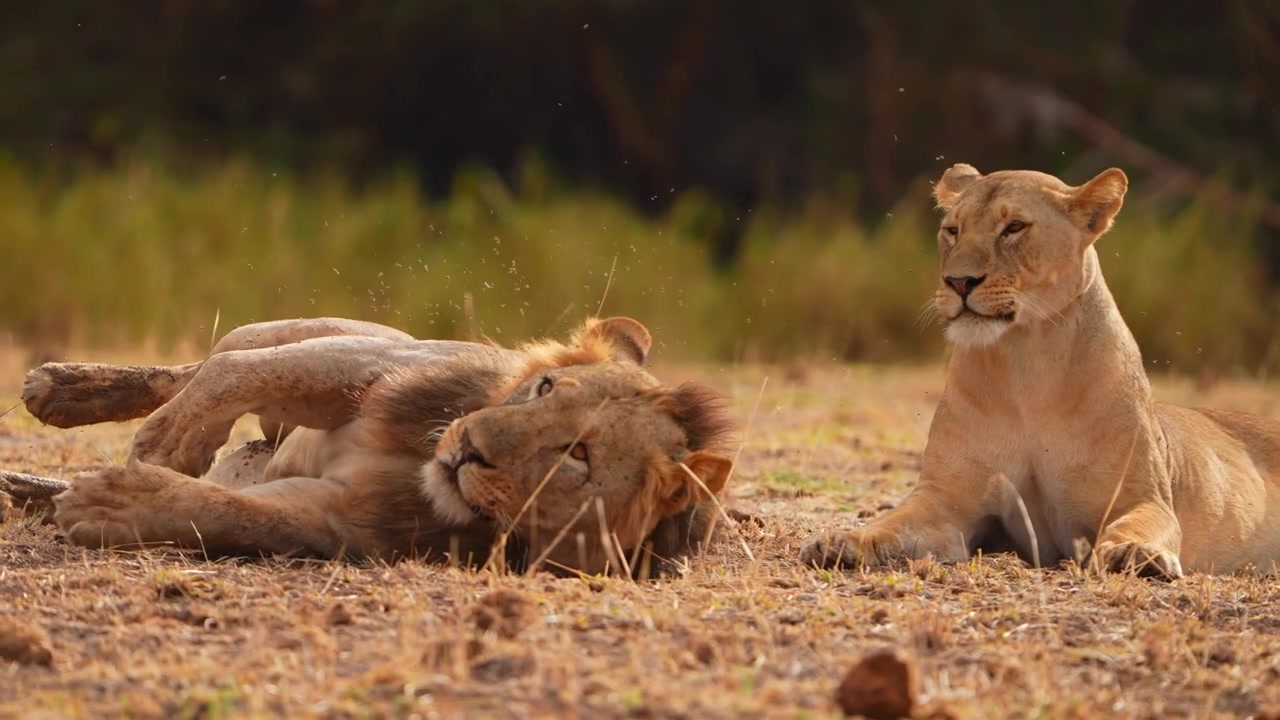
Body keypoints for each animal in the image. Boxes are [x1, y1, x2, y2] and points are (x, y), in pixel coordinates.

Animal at [11, 316, 739, 577]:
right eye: (543, 388)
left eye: (577, 456)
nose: (467, 446)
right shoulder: (375, 365)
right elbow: (237, 376)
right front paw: (165, 444)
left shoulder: (336, 519)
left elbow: (227, 512)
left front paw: (108, 505)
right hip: (340, 332)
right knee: (209, 361)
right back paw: (60, 389)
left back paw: (31, 490)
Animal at [801, 163, 1280, 579]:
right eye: (952, 230)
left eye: (1014, 228)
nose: (958, 282)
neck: (1026, 367)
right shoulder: (947, 500)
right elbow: (892, 523)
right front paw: (842, 542)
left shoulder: (1143, 496)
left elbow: (1139, 525)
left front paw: (1135, 554)